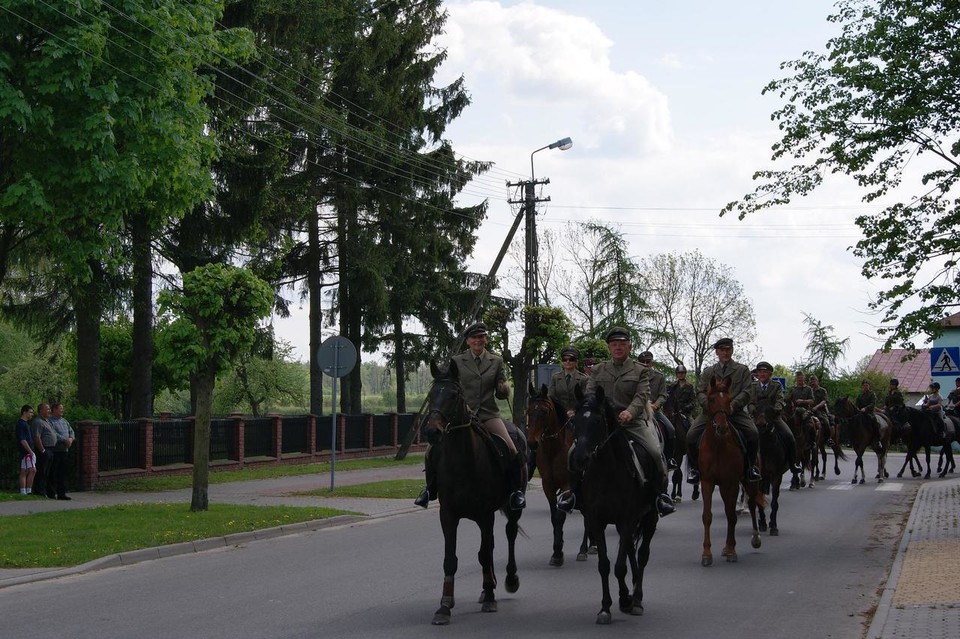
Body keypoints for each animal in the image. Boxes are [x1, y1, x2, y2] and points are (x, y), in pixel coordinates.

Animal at [422, 362, 524, 628]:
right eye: (432, 394)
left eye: (454, 394)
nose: (432, 432)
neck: (463, 461)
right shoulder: (448, 516)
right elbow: (451, 559)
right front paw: (444, 605)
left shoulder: (485, 514)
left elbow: (484, 554)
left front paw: (490, 597)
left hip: (512, 508)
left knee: (509, 535)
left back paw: (508, 580)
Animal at [524, 380, 592, 564]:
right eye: (529, 411)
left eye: (544, 411)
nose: (532, 443)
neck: (554, 450)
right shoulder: (548, 485)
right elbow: (555, 517)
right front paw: (557, 550)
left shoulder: (568, 485)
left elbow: (561, 516)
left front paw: (558, 552)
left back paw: (585, 549)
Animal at [568, 384, 660, 624]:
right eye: (575, 421)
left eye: (597, 421)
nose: (579, 459)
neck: (607, 473)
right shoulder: (597, 521)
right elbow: (605, 565)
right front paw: (606, 607)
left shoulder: (628, 520)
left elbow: (619, 566)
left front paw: (626, 600)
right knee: (630, 550)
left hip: (650, 518)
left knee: (642, 554)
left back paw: (636, 598)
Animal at [696, 378, 764, 568]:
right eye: (711, 399)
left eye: (728, 400)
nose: (721, 427)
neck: (718, 445)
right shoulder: (707, 482)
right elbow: (707, 516)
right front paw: (706, 554)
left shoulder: (731, 483)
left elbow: (732, 516)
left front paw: (732, 550)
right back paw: (726, 548)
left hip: (749, 483)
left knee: (752, 505)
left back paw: (755, 538)